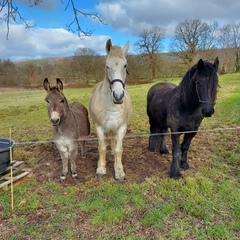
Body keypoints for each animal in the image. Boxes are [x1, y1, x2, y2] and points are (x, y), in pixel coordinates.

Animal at [89, 39, 132, 181]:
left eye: (125, 66)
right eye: (107, 66)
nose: (118, 96)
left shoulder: (122, 127)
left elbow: (119, 149)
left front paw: (119, 171)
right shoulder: (99, 127)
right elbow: (102, 148)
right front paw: (101, 169)